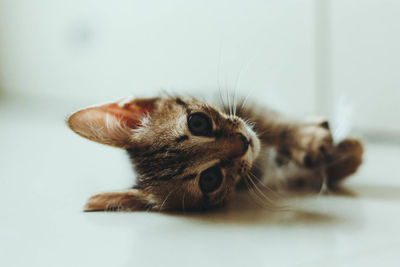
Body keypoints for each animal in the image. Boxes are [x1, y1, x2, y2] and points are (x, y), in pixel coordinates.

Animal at [66, 96, 362, 211]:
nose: (244, 143)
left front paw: (309, 139)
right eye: (210, 179)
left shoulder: (245, 105)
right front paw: (346, 157)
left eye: (198, 122)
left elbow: (270, 122)